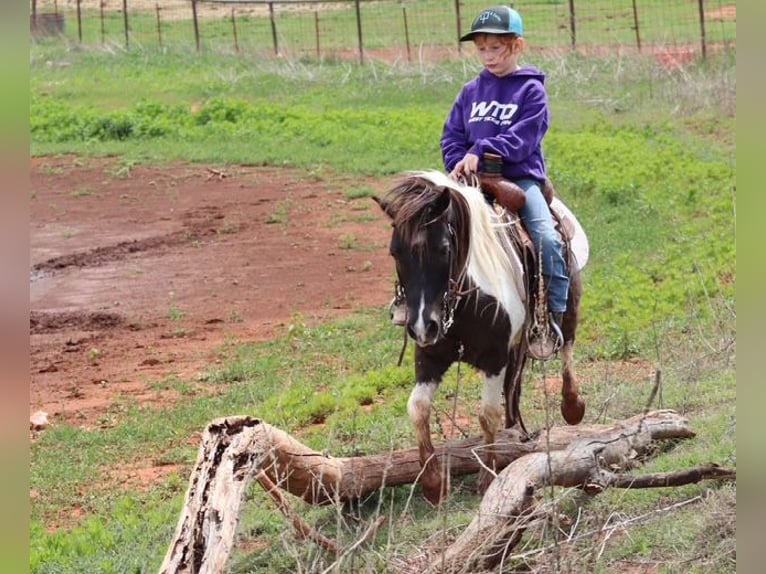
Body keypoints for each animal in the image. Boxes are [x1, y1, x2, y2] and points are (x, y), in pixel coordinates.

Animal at [373, 170, 586, 505]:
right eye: (395, 252)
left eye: (444, 249)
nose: (421, 327)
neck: (463, 305)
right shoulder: (430, 357)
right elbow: (417, 408)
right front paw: (433, 484)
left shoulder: (494, 358)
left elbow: (487, 415)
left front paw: (487, 477)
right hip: (515, 349)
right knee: (514, 390)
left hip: (567, 304)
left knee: (567, 347)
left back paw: (572, 405)